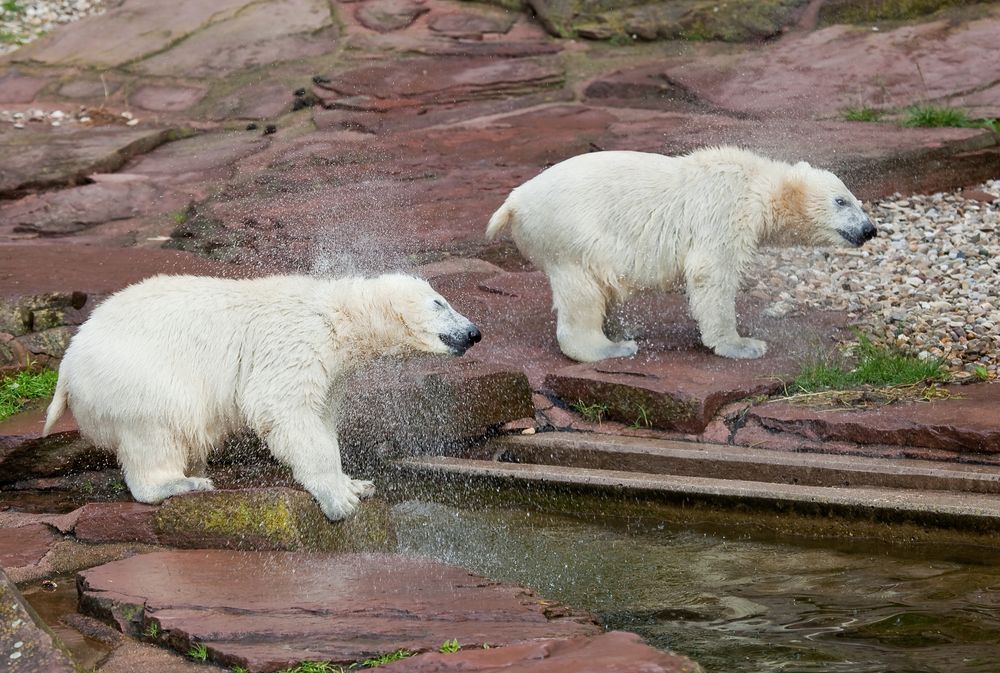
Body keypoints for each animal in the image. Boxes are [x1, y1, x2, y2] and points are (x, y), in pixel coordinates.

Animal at [45, 272, 482, 520]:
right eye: (440, 302)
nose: (474, 331)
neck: (337, 313)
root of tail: (67, 363)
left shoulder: (332, 371)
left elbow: (321, 418)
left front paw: (356, 483)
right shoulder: (297, 342)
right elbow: (283, 408)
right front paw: (339, 499)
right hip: (135, 374)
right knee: (159, 425)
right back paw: (181, 483)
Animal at [486, 144, 876, 360]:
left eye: (855, 200)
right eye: (842, 201)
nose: (870, 229)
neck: (756, 182)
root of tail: (514, 202)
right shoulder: (725, 210)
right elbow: (711, 273)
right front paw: (742, 344)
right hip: (571, 232)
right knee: (583, 290)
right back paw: (612, 347)